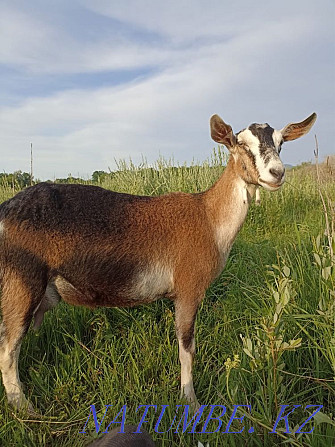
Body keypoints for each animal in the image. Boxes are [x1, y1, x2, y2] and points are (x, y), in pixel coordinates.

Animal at [0, 113, 318, 412]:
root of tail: (5, 211)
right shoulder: (189, 288)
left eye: (281, 143)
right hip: (22, 283)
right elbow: (186, 346)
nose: (277, 173)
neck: (208, 217)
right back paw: (26, 408)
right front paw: (190, 400)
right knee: (8, 348)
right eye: (240, 144)